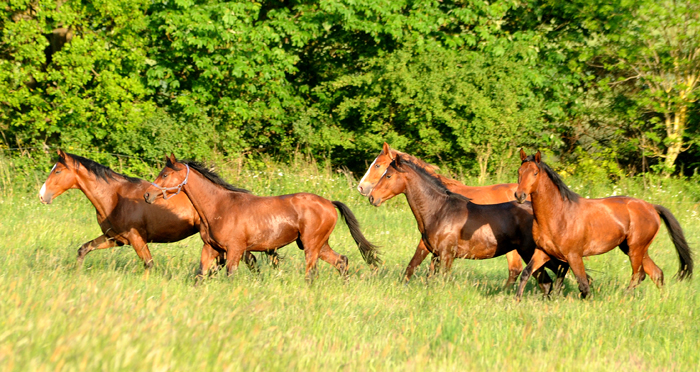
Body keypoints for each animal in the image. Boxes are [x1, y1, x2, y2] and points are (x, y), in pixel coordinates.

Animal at [39, 150, 268, 270]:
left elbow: (148, 264)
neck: (114, 198)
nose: (42, 195)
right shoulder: (116, 238)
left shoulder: (136, 238)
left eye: (57, 171)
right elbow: (83, 249)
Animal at [143, 154, 380, 282]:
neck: (219, 206)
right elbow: (200, 275)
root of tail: (329, 203)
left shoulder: (235, 250)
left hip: (312, 246)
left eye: (165, 174)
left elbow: (230, 275)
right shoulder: (211, 248)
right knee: (341, 261)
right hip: (318, 245)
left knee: (311, 273)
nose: (147, 194)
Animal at [366, 155, 568, 294]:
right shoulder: (435, 255)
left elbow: (440, 280)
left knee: (551, 275)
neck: (439, 210)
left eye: (388, 175)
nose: (371, 197)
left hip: (532, 253)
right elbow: (426, 276)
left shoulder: (447, 256)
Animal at [516, 150, 696, 298]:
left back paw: (623, 298)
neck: (558, 215)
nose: (519, 195)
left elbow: (584, 286)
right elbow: (526, 273)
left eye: (535, 172)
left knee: (639, 276)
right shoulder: (543, 252)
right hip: (635, 249)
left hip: (636, 250)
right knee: (656, 273)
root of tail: (651, 207)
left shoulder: (574, 256)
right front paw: (517, 301)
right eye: (519, 172)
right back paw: (662, 299)